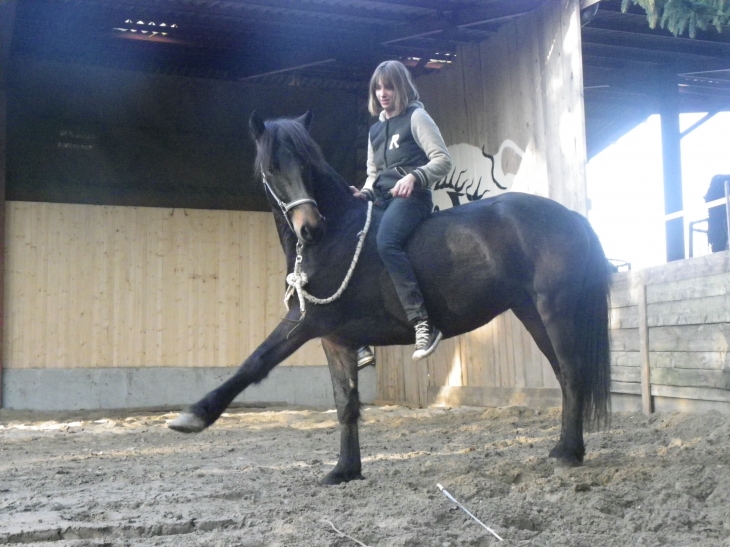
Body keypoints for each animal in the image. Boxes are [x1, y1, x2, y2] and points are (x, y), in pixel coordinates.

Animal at [169, 111, 608, 484]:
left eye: (306, 164)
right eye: (272, 168)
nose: (310, 227)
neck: (336, 235)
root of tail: (573, 218)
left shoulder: (306, 323)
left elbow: (255, 363)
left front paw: (193, 416)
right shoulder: (335, 338)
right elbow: (345, 403)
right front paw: (345, 470)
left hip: (556, 310)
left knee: (572, 373)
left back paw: (569, 453)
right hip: (531, 313)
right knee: (565, 374)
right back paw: (563, 448)